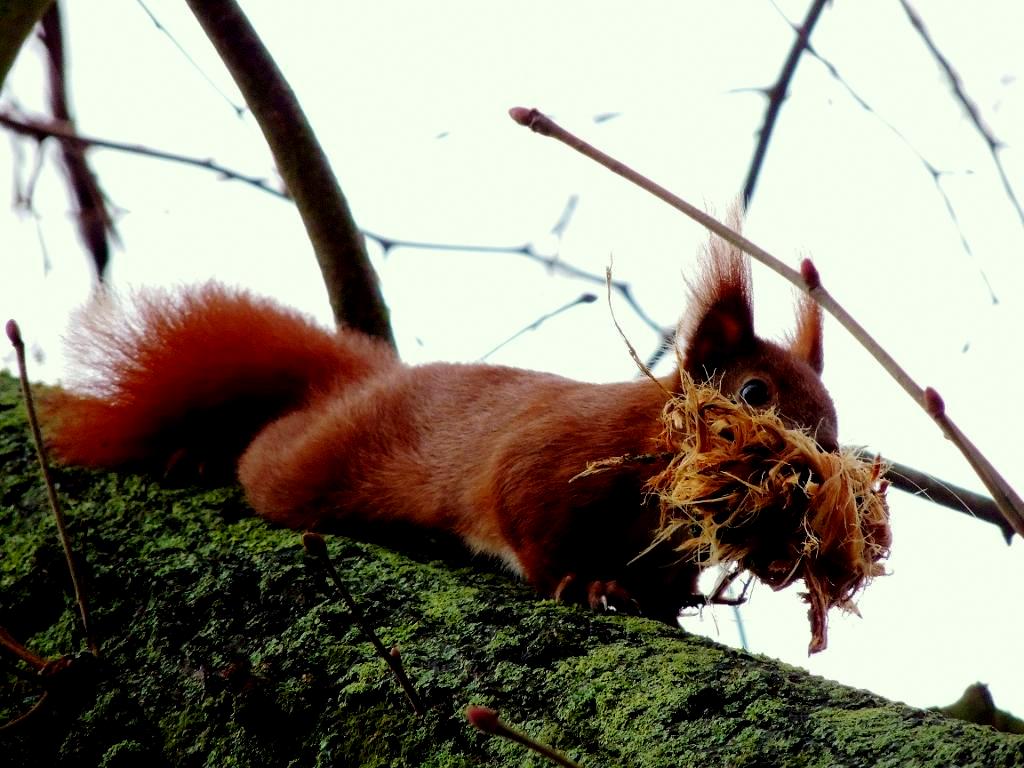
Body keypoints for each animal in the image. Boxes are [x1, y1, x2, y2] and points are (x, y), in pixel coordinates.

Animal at [44, 225, 835, 622]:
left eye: (833, 409)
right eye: (755, 392)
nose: (816, 467)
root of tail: (364, 382)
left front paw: (671, 598)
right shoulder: (554, 457)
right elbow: (527, 519)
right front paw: (588, 583)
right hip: (309, 467)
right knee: (264, 458)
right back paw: (201, 453)